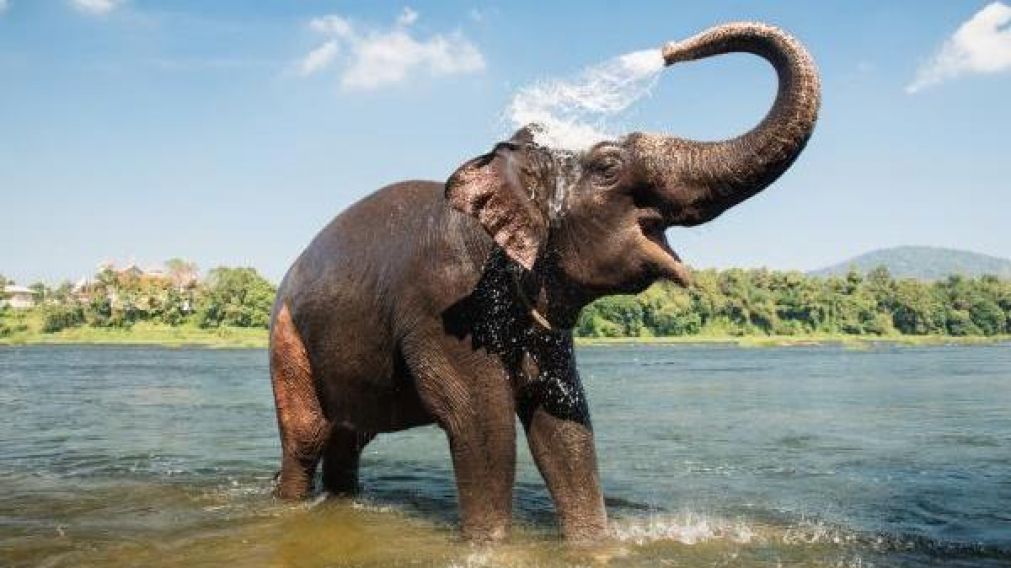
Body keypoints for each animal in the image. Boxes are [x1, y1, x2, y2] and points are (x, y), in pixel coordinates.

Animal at [268, 21, 820, 542]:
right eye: (608, 166)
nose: (668, 50)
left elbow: (564, 424)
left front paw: (593, 543)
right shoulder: (443, 305)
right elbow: (482, 424)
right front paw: (490, 545)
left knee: (349, 438)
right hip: (286, 340)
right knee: (307, 438)